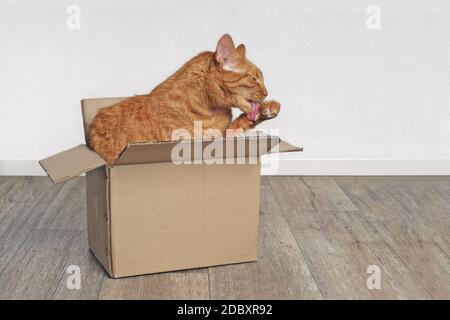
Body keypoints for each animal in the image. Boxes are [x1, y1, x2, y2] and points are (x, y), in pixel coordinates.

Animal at [89, 35, 280, 162]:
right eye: (254, 79)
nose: (266, 93)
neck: (211, 110)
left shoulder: (224, 135)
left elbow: (240, 124)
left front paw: (268, 108)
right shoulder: (186, 139)